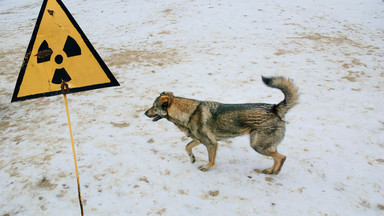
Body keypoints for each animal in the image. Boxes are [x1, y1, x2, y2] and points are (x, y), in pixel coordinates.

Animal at [146, 76, 298, 174]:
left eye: (154, 106)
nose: (144, 113)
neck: (189, 113)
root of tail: (275, 108)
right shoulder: (198, 139)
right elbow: (187, 147)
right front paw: (192, 158)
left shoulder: (211, 143)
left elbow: (211, 160)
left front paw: (206, 167)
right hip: (265, 145)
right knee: (277, 157)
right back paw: (271, 170)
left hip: (258, 145)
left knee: (281, 157)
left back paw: (276, 172)